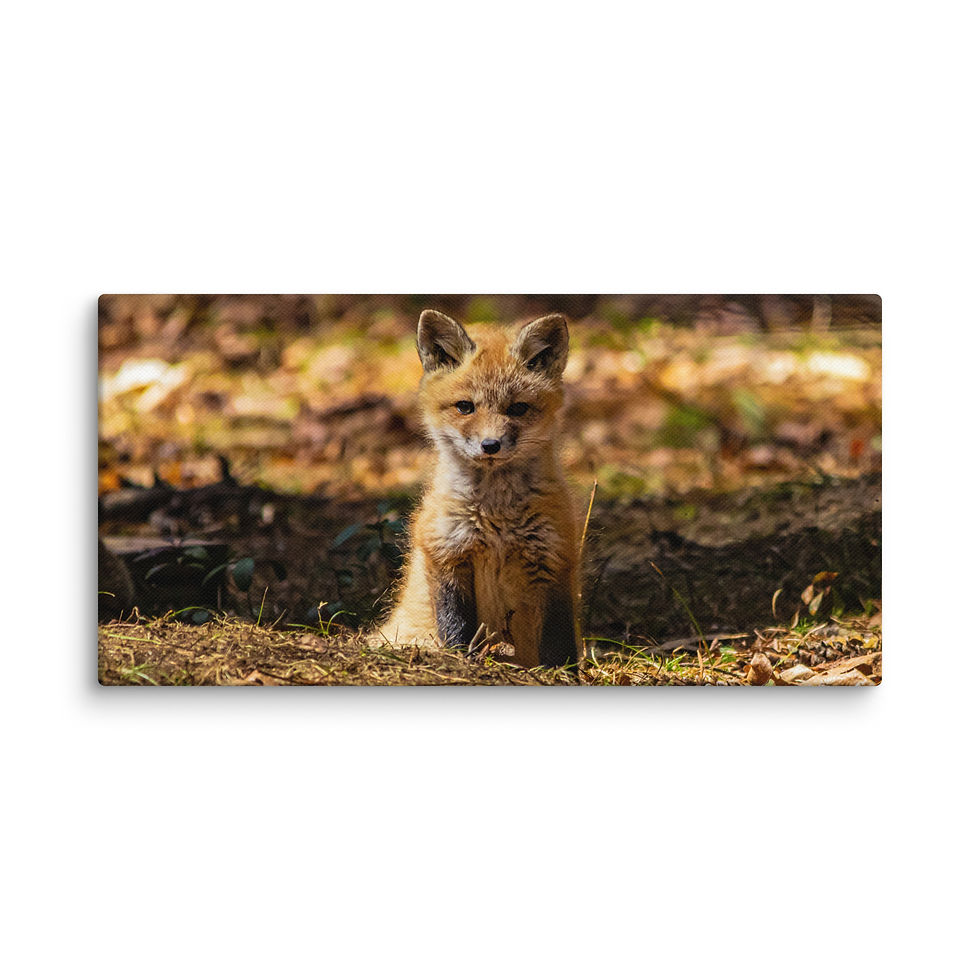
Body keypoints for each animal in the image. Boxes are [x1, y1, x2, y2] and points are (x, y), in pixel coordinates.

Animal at [380, 309, 582, 669]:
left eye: (517, 408)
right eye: (465, 407)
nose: (491, 445)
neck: (496, 517)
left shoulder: (553, 560)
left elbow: (557, 641)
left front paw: (562, 673)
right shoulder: (447, 555)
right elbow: (456, 627)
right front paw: (461, 661)